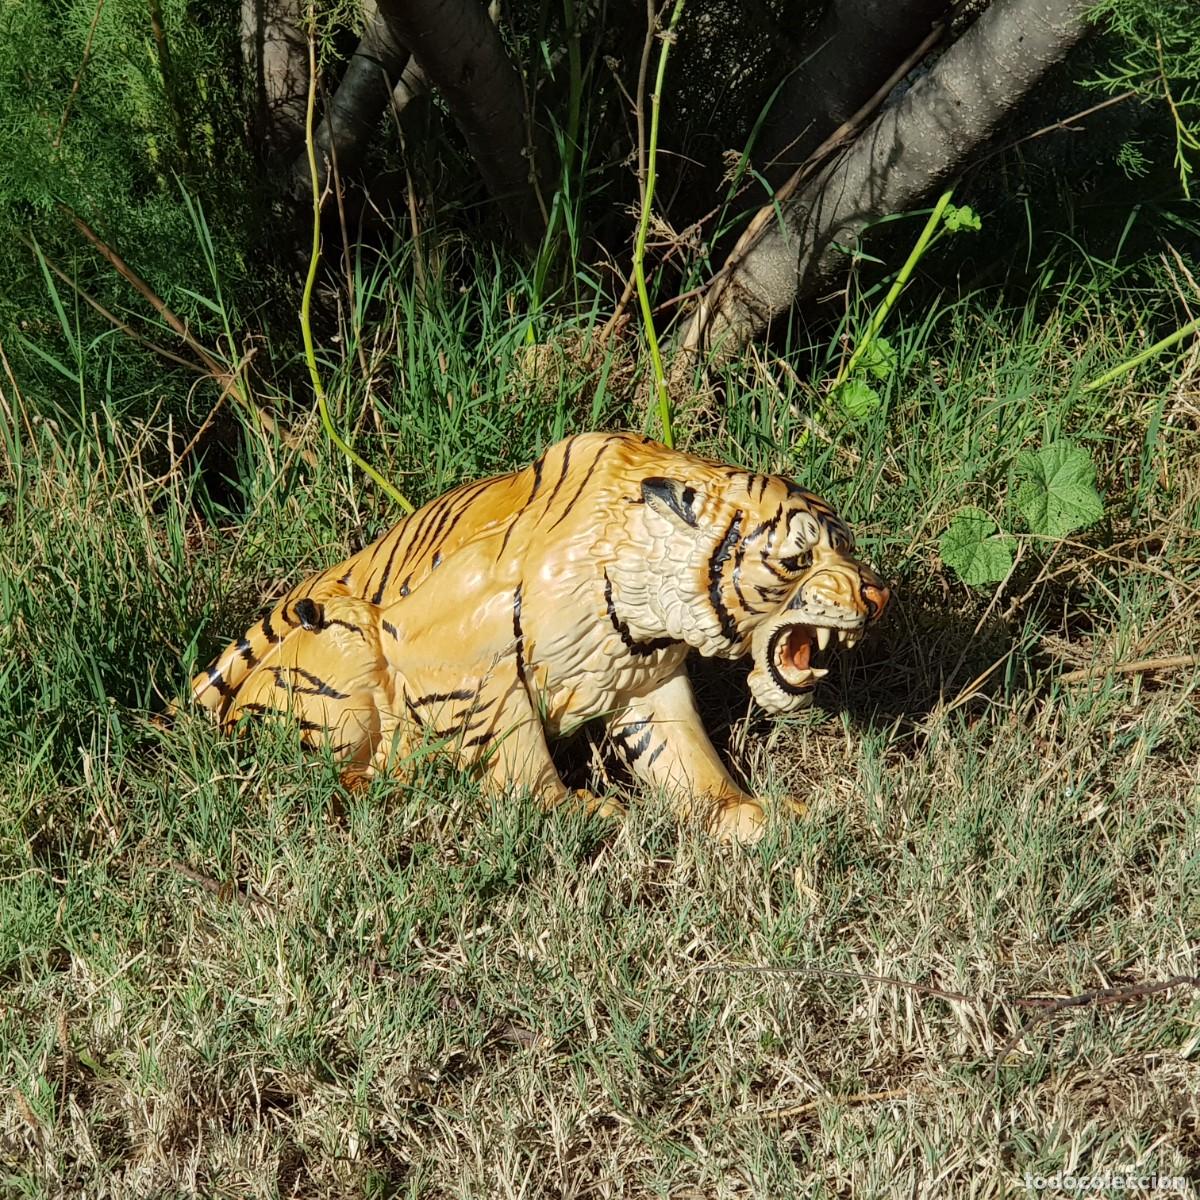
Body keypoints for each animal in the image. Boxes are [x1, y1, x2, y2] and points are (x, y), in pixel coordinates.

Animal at [192, 432, 890, 842]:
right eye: (797, 559)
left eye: (848, 548)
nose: (877, 597)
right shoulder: (456, 646)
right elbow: (513, 745)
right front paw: (575, 811)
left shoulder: (645, 675)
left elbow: (684, 755)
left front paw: (744, 817)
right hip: (344, 636)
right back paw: (389, 787)